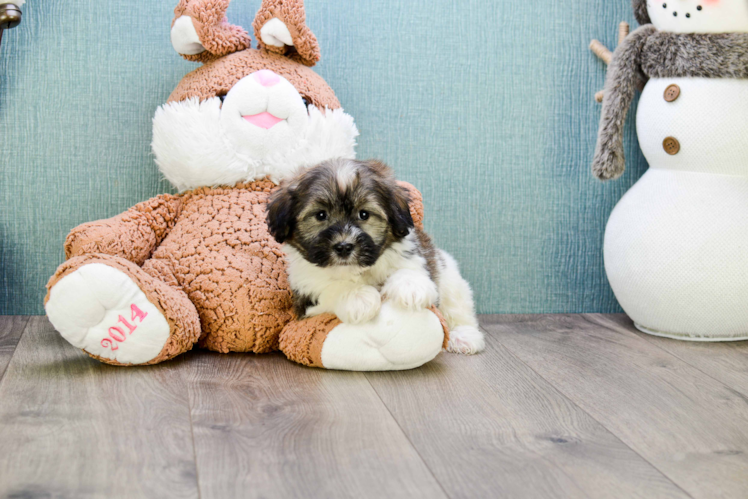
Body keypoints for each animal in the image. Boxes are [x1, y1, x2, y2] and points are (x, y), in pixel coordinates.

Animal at [268, 158, 486, 354]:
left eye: (364, 214)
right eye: (321, 215)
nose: (344, 246)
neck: (357, 271)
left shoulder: (415, 256)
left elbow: (409, 269)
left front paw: (410, 286)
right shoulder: (305, 299)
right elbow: (330, 286)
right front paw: (357, 297)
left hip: (450, 278)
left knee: (457, 308)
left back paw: (463, 336)